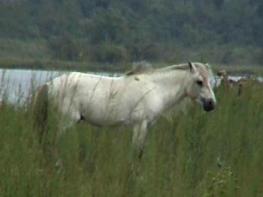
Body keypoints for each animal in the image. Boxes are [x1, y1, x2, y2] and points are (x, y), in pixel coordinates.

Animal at [33, 62, 217, 158]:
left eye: (211, 80)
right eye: (199, 81)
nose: (211, 104)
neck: (155, 88)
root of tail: (49, 85)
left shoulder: (145, 127)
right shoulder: (140, 125)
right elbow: (136, 154)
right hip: (64, 122)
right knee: (52, 144)